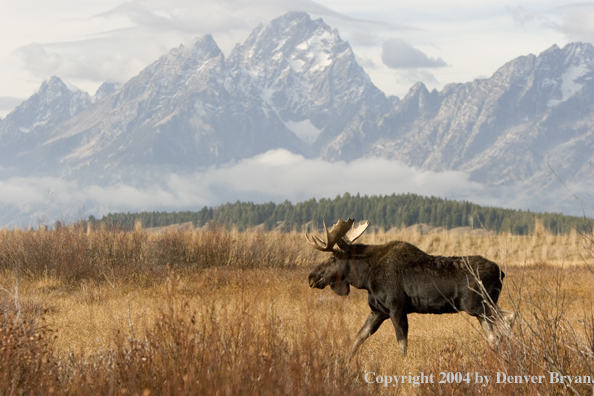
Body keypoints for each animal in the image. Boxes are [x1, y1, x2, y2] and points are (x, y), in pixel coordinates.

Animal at [306, 218, 512, 358]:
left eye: (332, 258)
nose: (311, 277)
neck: (366, 277)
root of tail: (501, 272)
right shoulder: (378, 311)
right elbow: (358, 338)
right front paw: (344, 360)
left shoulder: (397, 308)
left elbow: (402, 345)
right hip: (481, 310)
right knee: (494, 334)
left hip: (479, 305)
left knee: (507, 319)